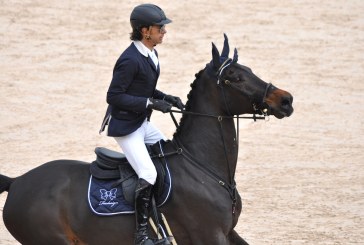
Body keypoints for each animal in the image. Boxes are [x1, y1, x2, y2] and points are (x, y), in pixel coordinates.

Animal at [0, 35, 292, 245]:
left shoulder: (228, 232)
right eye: (234, 78)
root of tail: (17, 182)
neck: (203, 167)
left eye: (248, 69)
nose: (285, 100)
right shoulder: (210, 235)